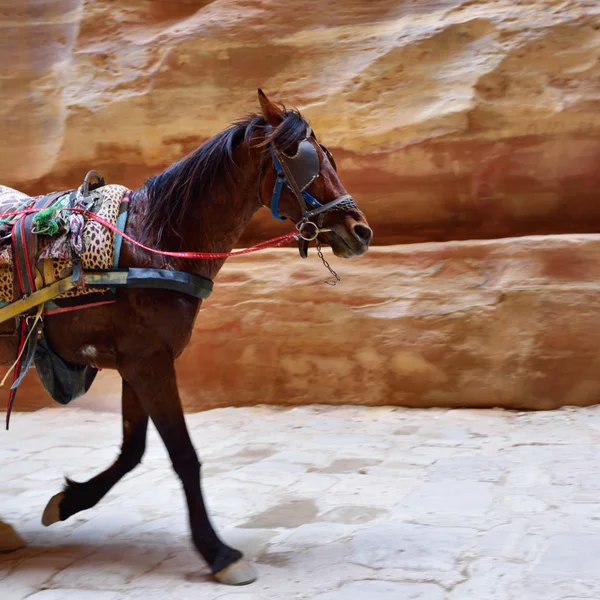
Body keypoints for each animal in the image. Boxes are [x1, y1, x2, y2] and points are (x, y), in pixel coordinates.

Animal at [2, 90, 372, 584]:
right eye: (302, 158)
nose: (361, 230)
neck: (151, 243)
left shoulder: (138, 361)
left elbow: (132, 450)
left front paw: (69, 500)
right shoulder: (148, 362)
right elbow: (183, 455)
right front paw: (219, 552)